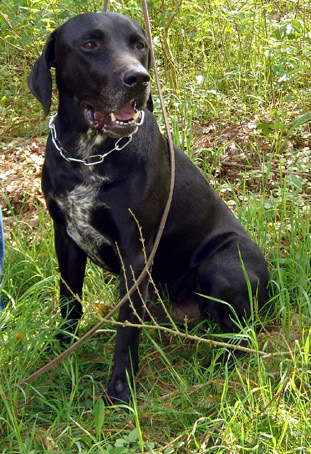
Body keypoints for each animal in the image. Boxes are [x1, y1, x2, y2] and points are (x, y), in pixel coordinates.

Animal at [28, 11, 270, 404]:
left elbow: (126, 327)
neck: (88, 154)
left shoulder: (136, 252)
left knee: (243, 336)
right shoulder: (65, 238)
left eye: (139, 45)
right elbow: (69, 302)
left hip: (221, 265)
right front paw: (58, 350)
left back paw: (218, 367)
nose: (138, 78)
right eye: (89, 43)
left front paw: (120, 389)